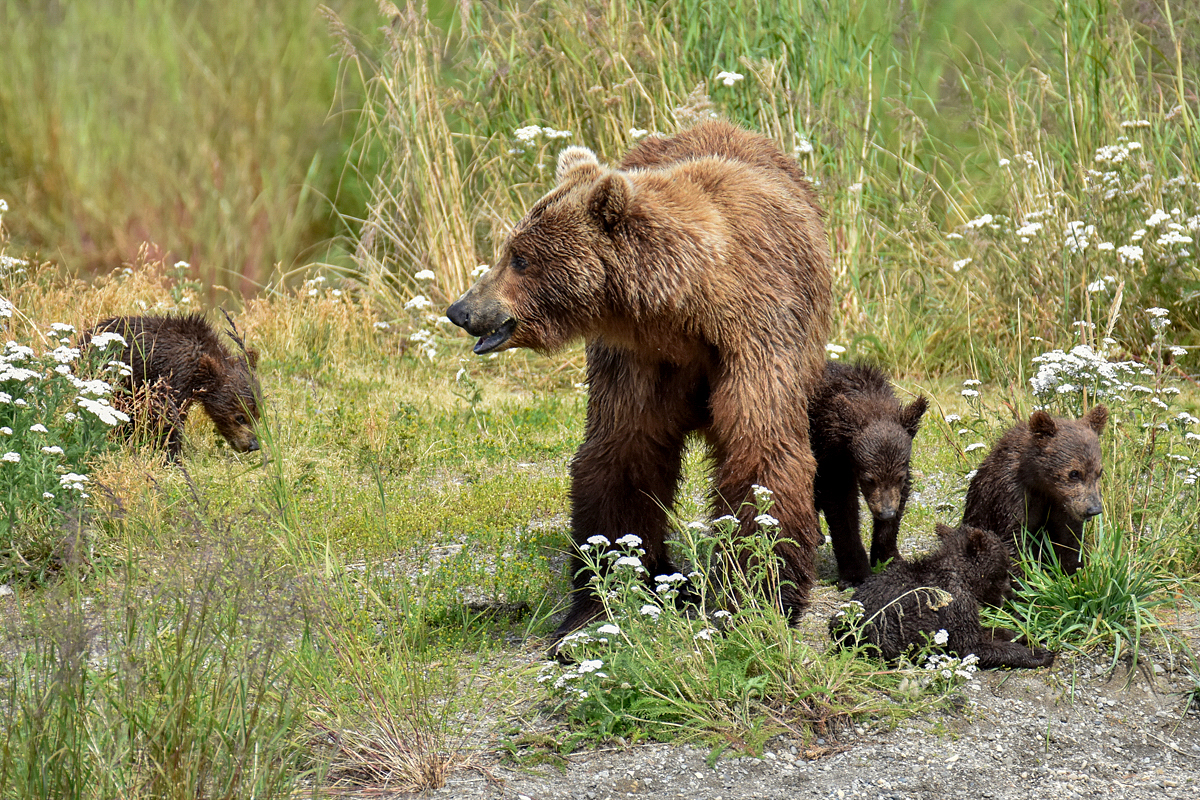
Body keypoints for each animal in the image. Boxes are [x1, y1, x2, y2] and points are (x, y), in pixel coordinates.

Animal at [446, 122, 830, 642]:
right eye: (509, 250)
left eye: (520, 259)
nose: (461, 309)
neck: (686, 310)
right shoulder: (639, 357)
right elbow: (625, 451)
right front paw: (599, 600)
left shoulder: (756, 333)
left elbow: (761, 450)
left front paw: (759, 594)